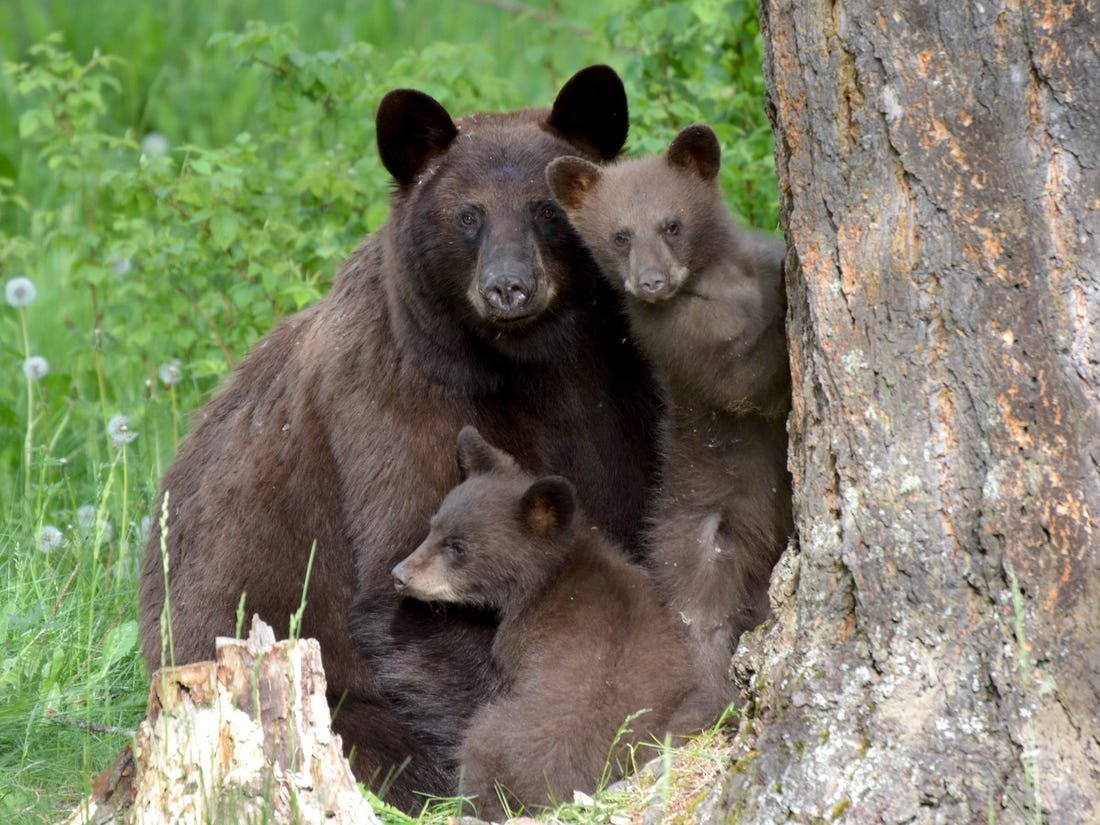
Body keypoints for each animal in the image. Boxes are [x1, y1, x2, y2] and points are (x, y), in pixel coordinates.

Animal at [139, 65, 663, 812]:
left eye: (546, 209)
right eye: (468, 215)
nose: (509, 287)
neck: (532, 365)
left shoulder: (619, 398)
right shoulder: (398, 407)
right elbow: (415, 585)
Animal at [387, 426, 727, 821]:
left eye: (458, 547)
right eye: (432, 528)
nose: (400, 575)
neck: (550, 574)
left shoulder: (519, 636)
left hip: (488, 732)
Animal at [546, 123, 792, 706]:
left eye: (671, 224)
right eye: (620, 235)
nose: (652, 282)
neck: (719, 289)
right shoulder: (680, 344)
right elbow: (744, 382)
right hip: (697, 542)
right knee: (699, 620)